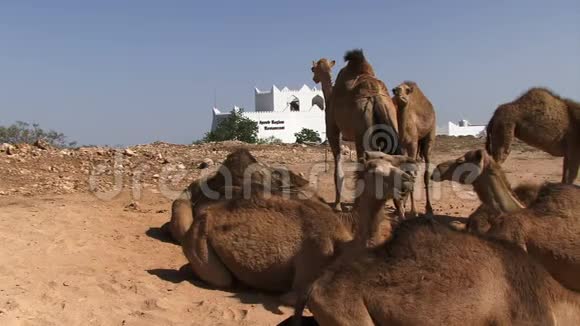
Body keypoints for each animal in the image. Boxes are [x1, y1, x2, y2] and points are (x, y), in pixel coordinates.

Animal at [180, 152, 412, 304]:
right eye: (375, 169)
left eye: (393, 164)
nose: (408, 179)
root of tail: (200, 218)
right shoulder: (302, 281)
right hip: (200, 243)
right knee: (221, 279)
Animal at [312, 49, 398, 211]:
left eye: (312, 68)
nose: (314, 78)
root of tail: (376, 97)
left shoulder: (333, 129)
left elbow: (338, 168)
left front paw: (337, 205)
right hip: (389, 123)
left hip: (363, 134)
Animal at [390, 81, 436, 216]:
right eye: (395, 90)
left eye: (406, 90)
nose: (398, 93)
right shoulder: (403, 147)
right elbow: (406, 172)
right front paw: (402, 207)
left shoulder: (413, 144)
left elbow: (412, 174)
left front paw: (414, 211)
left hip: (429, 135)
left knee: (426, 171)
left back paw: (429, 209)